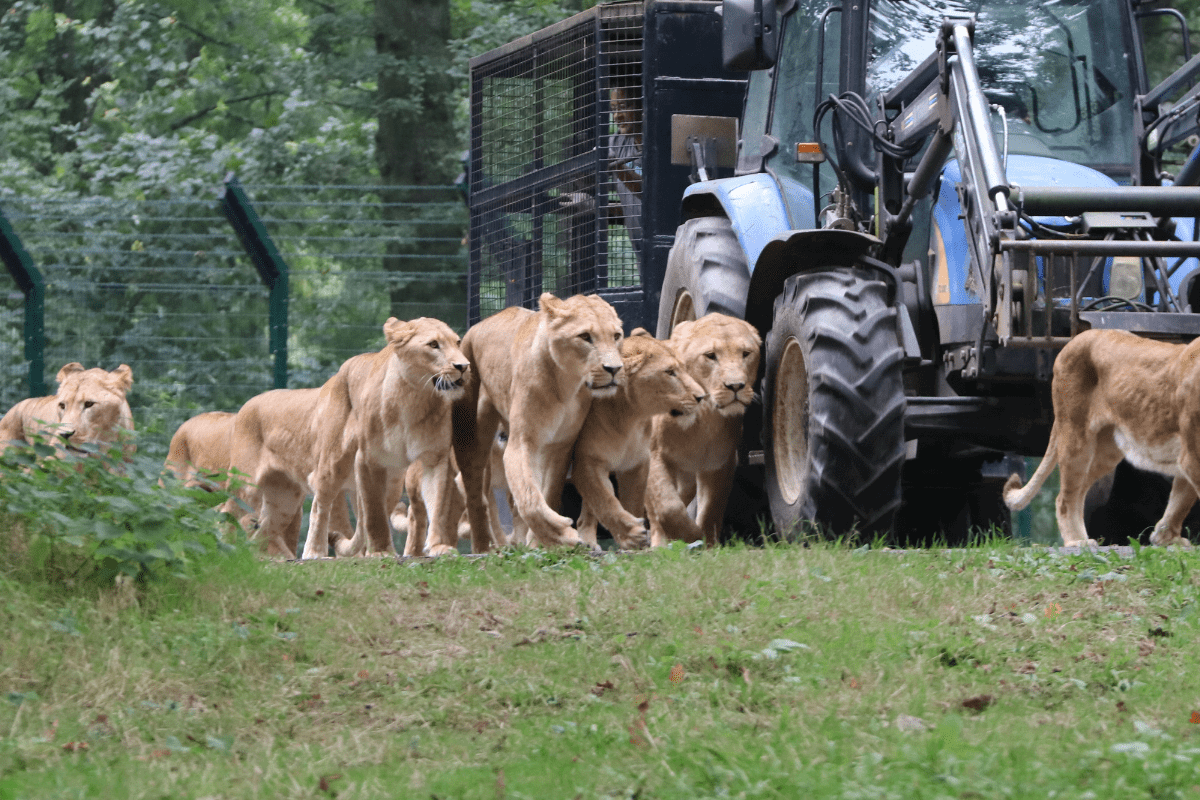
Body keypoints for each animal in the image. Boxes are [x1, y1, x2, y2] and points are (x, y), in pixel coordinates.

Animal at [304, 316, 469, 560]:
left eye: (457, 342)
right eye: (433, 345)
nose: (464, 366)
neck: (414, 397)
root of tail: (339, 372)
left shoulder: (434, 459)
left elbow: (438, 505)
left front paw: (438, 546)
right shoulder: (368, 460)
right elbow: (374, 512)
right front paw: (381, 550)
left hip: (393, 482)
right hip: (334, 463)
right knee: (320, 504)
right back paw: (314, 551)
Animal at [452, 293, 624, 552]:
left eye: (616, 336)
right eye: (585, 337)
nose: (614, 369)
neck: (566, 385)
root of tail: (479, 325)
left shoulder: (561, 447)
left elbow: (548, 493)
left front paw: (542, 540)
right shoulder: (521, 443)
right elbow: (529, 496)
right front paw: (563, 534)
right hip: (471, 440)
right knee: (476, 496)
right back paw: (483, 547)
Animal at [572, 329, 706, 550]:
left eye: (684, 369)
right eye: (670, 372)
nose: (702, 397)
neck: (629, 418)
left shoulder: (637, 464)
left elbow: (633, 503)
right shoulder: (587, 462)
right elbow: (604, 499)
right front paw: (632, 534)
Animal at [644, 314, 761, 548]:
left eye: (746, 353)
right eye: (710, 356)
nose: (736, 386)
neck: (704, 417)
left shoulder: (719, 463)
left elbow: (711, 508)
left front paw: (708, 545)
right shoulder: (654, 455)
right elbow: (667, 506)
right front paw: (690, 535)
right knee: (655, 510)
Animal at [1004, 328, 1200, 548]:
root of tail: (1079, 336)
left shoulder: (1187, 457)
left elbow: (1180, 499)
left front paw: (1166, 539)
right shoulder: (1192, 456)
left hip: (1107, 451)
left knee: (1080, 490)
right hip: (1075, 435)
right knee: (1065, 498)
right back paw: (1077, 542)